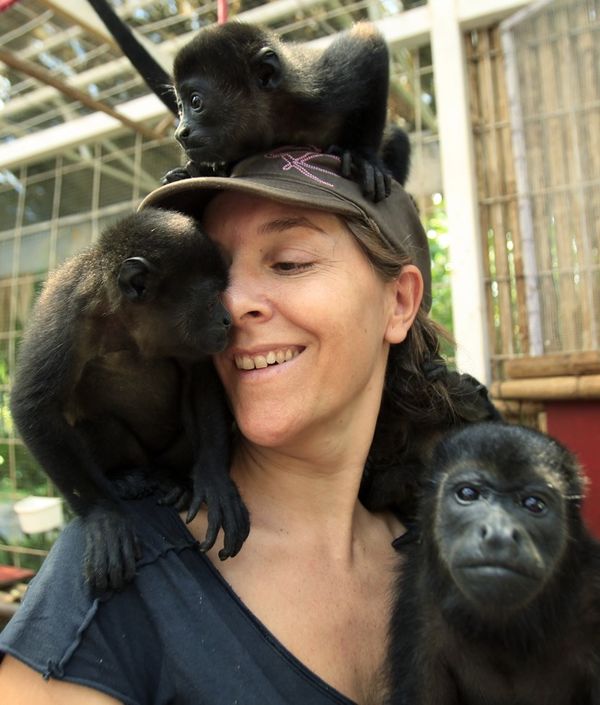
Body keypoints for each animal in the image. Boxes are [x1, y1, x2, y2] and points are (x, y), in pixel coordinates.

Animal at [11, 209, 251, 592]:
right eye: (213, 297)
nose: (228, 320)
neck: (125, 325)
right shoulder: (66, 311)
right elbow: (34, 405)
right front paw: (104, 515)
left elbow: (200, 374)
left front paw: (213, 481)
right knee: (99, 425)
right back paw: (125, 478)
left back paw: (176, 482)